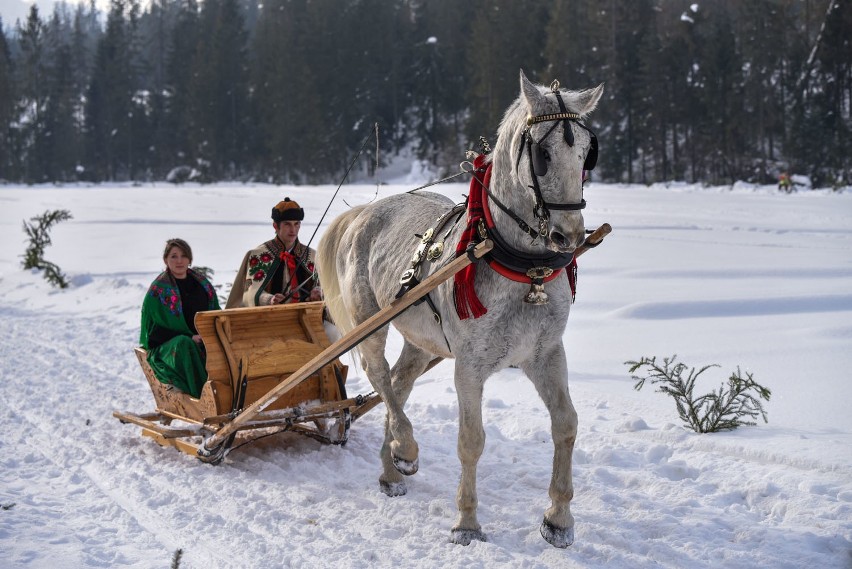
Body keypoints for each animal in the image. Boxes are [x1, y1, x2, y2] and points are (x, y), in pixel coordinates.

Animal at [316, 70, 604, 544]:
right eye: (542, 154)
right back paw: (405, 449)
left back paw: (391, 468)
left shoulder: (545, 353)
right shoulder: (469, 366)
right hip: (370, 321)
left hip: (422, 341)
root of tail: (365, 211)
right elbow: (471, 440)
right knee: (380, 376)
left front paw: (558, 518)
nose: (571, 235)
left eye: (586, 152)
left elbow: (566, 424)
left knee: (398, 384)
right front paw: (467, 522)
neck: (522, 268)